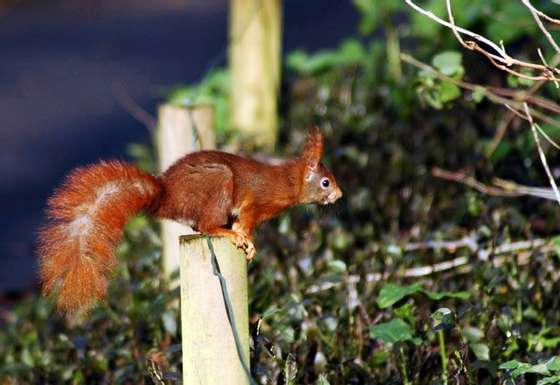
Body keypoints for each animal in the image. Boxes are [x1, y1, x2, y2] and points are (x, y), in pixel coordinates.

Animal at [38, 127, 342, 314]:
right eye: (325, 182)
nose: (339, 195)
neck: (288, 182)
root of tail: (166, 196)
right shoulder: (255, 203)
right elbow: (245, 222)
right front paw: (246, 239)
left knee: (199, 227)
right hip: (219, 183)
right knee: (206, 226)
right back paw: (226, 233)